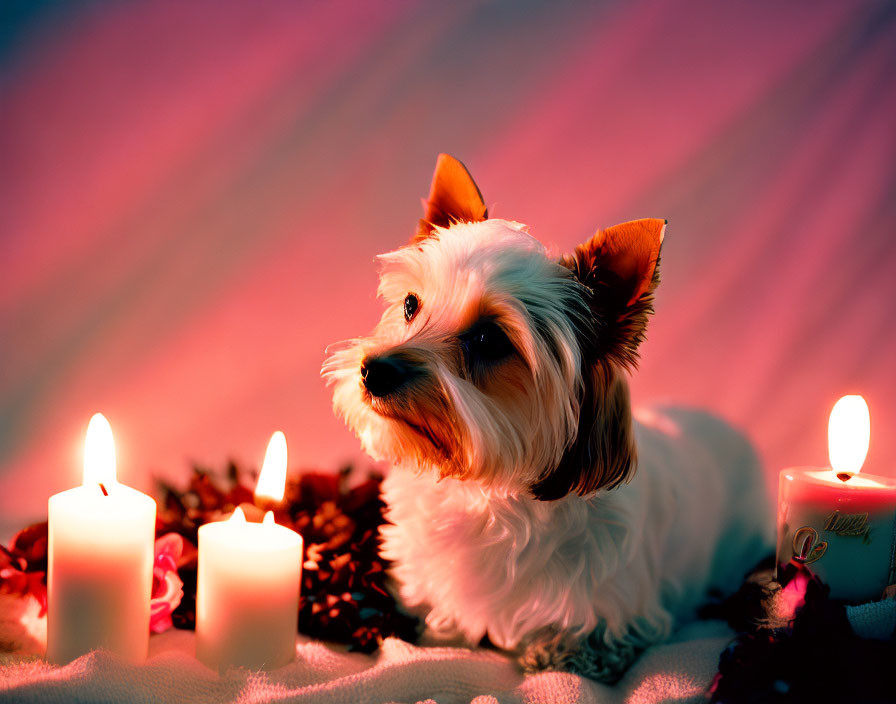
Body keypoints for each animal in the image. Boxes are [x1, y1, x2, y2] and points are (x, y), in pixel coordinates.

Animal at [322, 155, 768, 680]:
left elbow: (589, 635)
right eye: (411, 305)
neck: (485, 489)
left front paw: (559, 654)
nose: (374, 371)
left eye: (489, 339)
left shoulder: (618, 606)